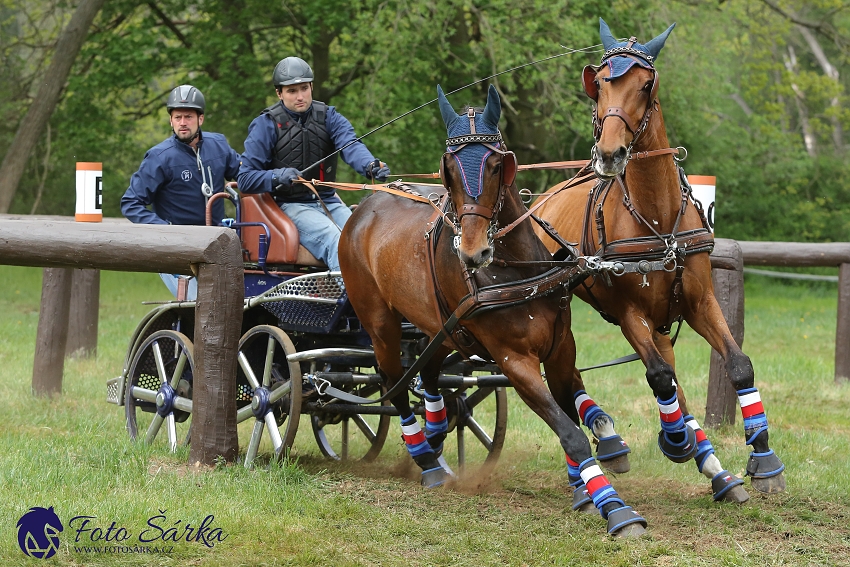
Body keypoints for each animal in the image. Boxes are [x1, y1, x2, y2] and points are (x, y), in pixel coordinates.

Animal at [336, 84, 644, 536]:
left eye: (498, 164)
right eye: (448, 167)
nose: (473, 251)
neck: (516, 270)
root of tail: (364, 210)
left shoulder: (560, 349)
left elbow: (574, 413)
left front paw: (591, 477)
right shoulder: (514, 361)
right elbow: (569, 432)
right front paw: (614, 508)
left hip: (444, 327)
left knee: (428, 372)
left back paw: (436, 434)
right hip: (380, 323)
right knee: (394, 381)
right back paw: (426, 460)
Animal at [532, 18, 784, 506]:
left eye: (646, 85)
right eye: (599, 84)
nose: (609, 153)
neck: (658, 219)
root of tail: (536, 202)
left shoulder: (700, 303)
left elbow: (737, 363)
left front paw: (762, 457)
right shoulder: (630, 314)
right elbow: (660, 377)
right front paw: (675, 440)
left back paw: (714, 470)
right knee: (564, 379)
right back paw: (608, 443)